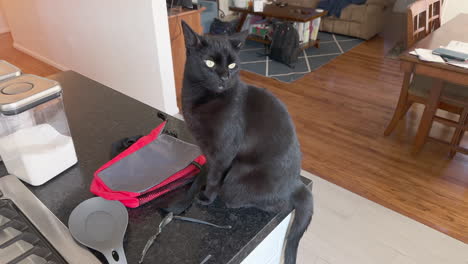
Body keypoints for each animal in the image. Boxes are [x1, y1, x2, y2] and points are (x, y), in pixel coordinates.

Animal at [181, 22, 312, 264]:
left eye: (233, 64)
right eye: (209, 63)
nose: (225, 76)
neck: (202, 98)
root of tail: (297, 183)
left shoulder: (223, 152)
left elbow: (214, 177)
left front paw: (206, 196)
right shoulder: (207, 150)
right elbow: (208, 169)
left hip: (238, 178)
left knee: (280, 205)